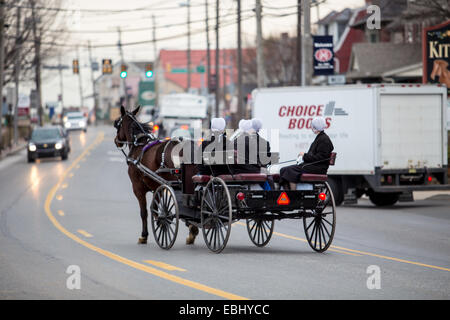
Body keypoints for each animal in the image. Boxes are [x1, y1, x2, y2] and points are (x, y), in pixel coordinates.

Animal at [114, 106, 195, 244]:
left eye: (117, 124)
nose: (116, 141)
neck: (138, 145)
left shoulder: (138, 188)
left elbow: (145, 211)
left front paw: (144, 235)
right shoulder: (157, 186)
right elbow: (155, 207)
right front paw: (160, 222)